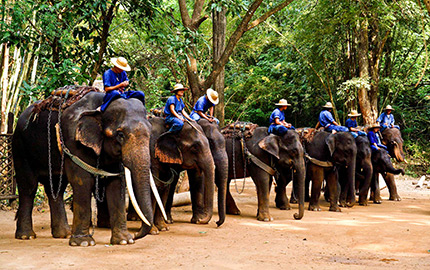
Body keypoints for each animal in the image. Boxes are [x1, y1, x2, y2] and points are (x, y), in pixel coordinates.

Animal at [13, 89, 161, 246]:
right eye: (120, 134)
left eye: (150, 133)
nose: (136, 235)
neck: (102, 103)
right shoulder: (73, 140)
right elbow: (82, 180)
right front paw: (84, 243)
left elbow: (116, 183)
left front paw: (124, 241)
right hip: (20, 146)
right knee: (28, 187)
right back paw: (27, 236)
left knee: (56, 188)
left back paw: (63, 234)